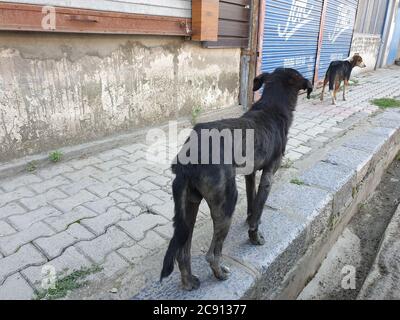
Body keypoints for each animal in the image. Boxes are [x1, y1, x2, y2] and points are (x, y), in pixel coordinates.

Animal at [159, 67, 312, 290]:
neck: (272, 106)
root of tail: (189, 156)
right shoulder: (269, 175)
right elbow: (258, 211)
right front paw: (255, 237)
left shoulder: (250, 173)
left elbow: (253, 202)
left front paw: (249, 219)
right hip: (226, 202)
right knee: (212, 254)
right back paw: (219, 273)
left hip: (189, 206)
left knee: (182, 251)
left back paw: (188, 282)